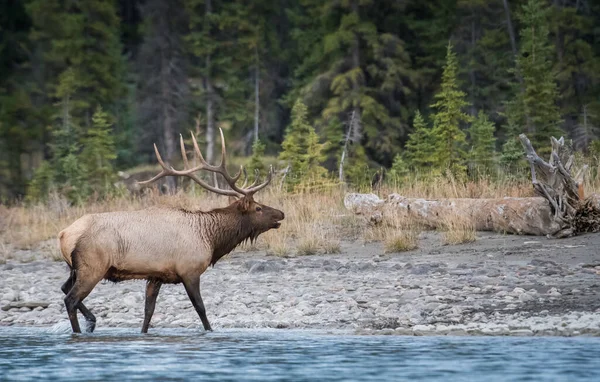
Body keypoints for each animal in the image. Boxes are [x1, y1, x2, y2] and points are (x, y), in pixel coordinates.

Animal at [58, 130, 284, 332]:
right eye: (258, 208)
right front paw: (209, 330)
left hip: (75, 268)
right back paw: (82, 328)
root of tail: (64, 234)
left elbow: (148, 313)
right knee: (70, 298)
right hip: (92, 266)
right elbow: (201, 309)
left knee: (64, 288)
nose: (281, 213)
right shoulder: (189, 270)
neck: (210, 238)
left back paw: (91, 320)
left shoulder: (156, 275)